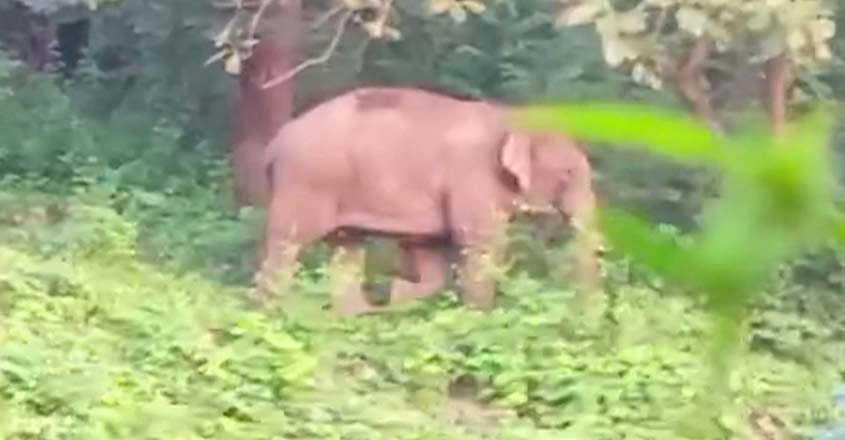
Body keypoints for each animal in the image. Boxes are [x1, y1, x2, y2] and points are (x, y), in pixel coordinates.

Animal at [251, 86, 602, 315]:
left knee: (347, 247)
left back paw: (353, 315)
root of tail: (274, 145)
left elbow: (428, 253)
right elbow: (480, 244)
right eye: (568, 173)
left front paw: (398, 293)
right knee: (286, 244)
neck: (510, 115)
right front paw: (479, 317)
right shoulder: (472, 178)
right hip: (305, 182)